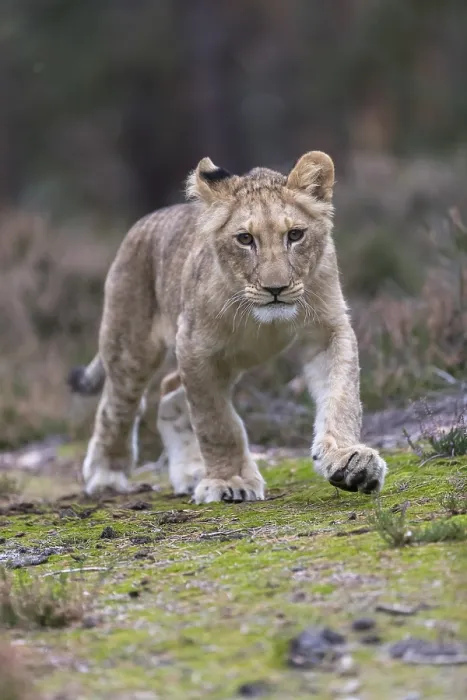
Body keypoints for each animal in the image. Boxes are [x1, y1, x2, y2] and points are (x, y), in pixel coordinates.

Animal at [69, 151, 387, 503]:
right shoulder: (195, 347)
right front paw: (230, 480)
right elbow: (216, 422)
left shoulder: (327, 330)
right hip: (131, 347)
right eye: (245, 239)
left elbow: (342, 396)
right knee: (118, 407)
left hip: (232, 360)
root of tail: (142, 224)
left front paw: (350, 461)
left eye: (295, 235)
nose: (275, 288)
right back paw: (106, 475)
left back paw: (189, 473)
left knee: (169, 390)